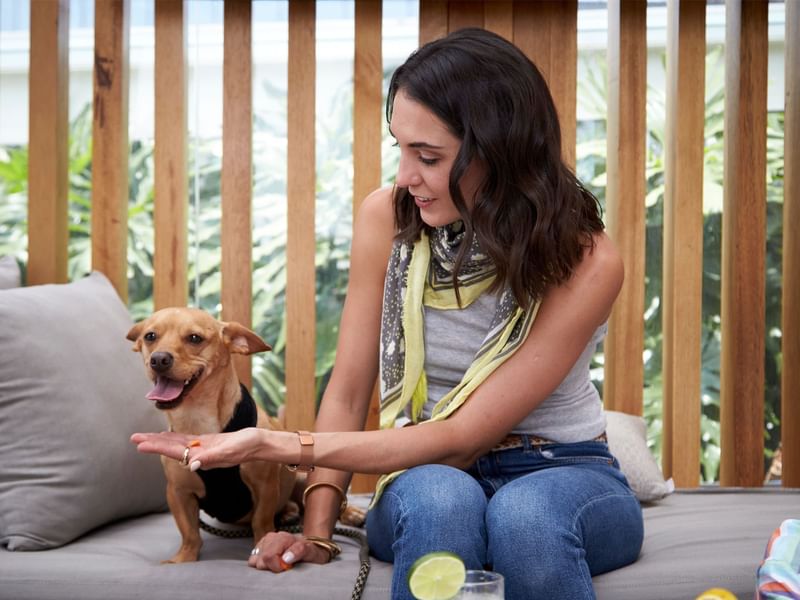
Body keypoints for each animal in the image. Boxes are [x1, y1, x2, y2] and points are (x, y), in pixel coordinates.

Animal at [126, 308, 296, 564]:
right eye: (150, 336)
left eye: (195, 338)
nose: (158, 359)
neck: (196, 419)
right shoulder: (177, 492)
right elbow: (189, 533)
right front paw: (184, 558)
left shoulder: (264, 486)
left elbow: (262, 522)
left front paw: (263, 545)